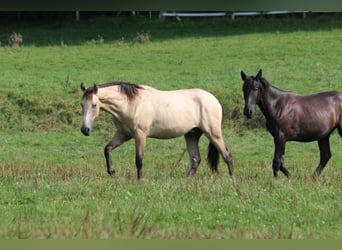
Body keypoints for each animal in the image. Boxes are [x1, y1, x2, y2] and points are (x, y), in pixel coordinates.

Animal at [80, 81, 235, 179]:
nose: (85, 130)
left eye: (94, 105)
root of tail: (214, 100)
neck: (130, 103)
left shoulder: (140, 135)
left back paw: (232, 180)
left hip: (213, 133)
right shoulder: (123, 134)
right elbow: (107, 149)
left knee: (227, 155)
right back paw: (186, 180)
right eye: (82, 104)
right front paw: (112, 171)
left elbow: (139, 159)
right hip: (192, 134)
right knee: (195, 159)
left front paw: (140, 180)